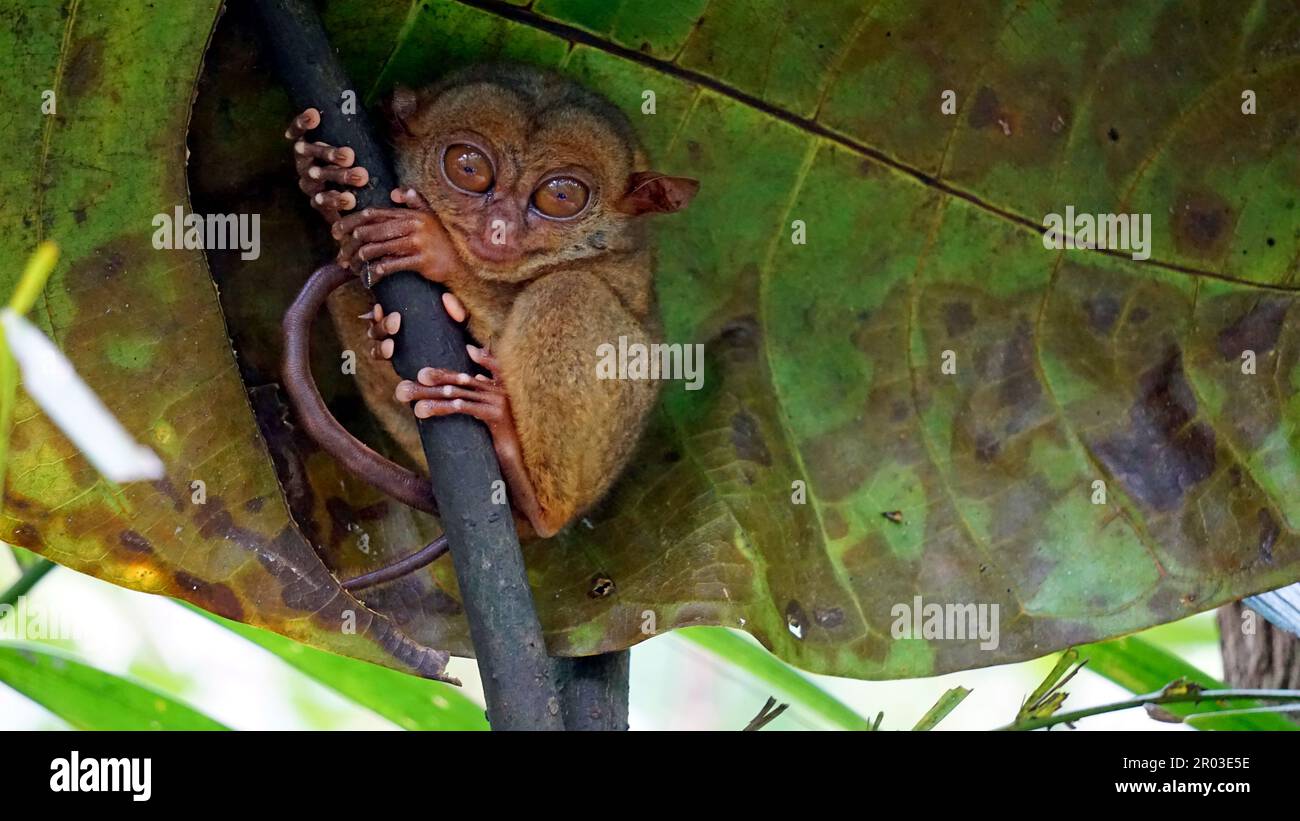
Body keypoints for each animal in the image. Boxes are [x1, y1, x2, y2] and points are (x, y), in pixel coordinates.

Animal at [284, 64, 697, 585]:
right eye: (468, 168)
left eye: (560, 196)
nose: (499, 229)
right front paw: (321, 174)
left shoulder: (624, 268)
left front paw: (435, 247)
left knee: (567, 292)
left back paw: (530, 486)